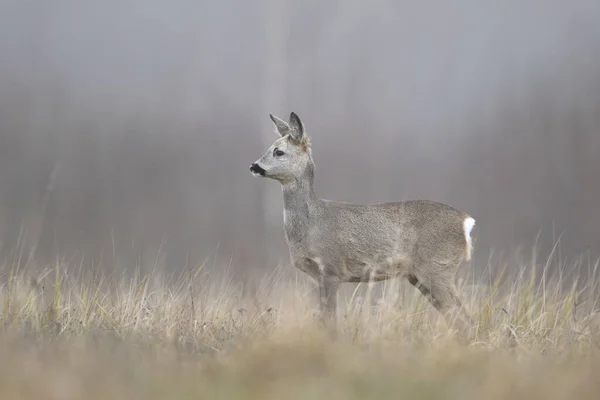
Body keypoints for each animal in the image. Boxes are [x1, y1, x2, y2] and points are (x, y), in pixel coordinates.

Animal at [248, 111, 474, 332]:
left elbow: (330, 321)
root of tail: (465, 221)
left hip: (438, 267)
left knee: (464, 317)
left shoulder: (331, 269)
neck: (311, 224)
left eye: (278, 151)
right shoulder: (320, 277)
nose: (253, 166)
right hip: (418, 276)